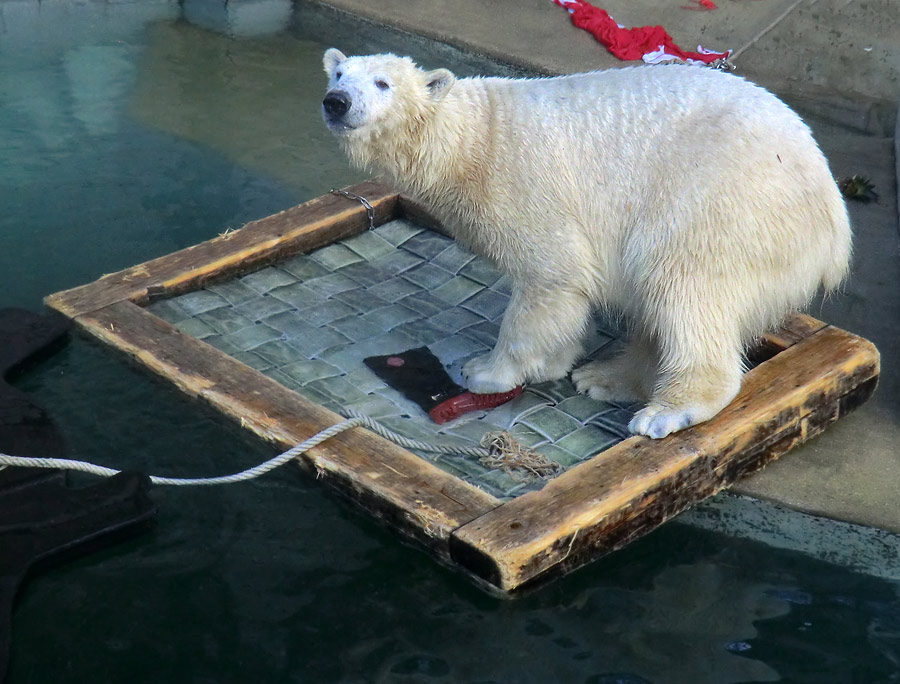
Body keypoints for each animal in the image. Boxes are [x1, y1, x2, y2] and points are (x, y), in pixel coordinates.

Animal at [322, 50, 852, 440]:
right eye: (340, 73)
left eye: (382, 83)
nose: (336, 101)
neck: (475, 139)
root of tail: (834, 220)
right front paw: (558, 362)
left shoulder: (524, 185)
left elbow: (549, 277)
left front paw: (486, 370)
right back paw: (607, 378)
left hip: (723, 203)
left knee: (681, 285)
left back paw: (667, 410)